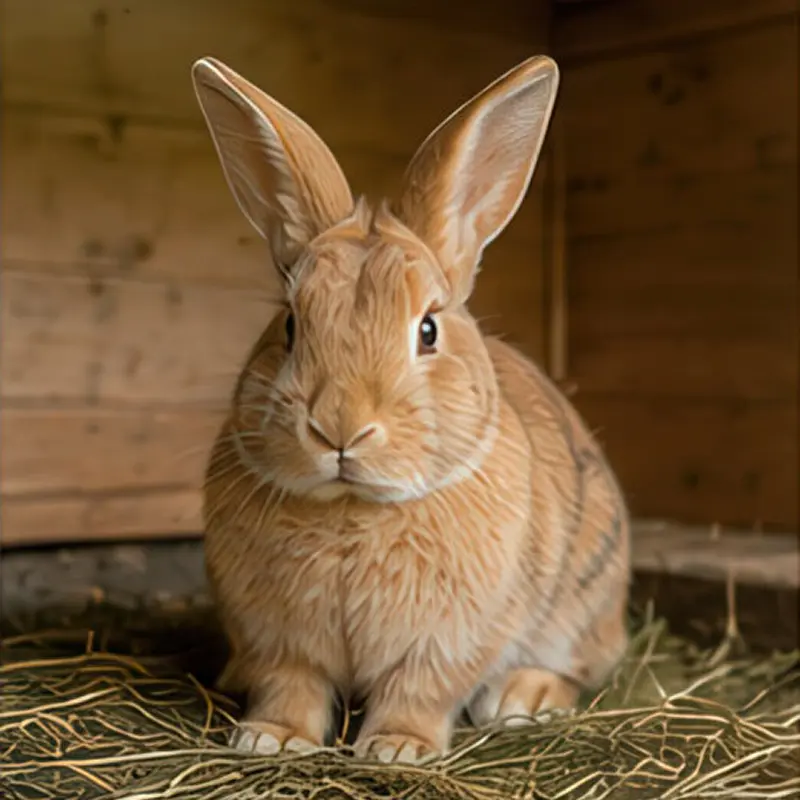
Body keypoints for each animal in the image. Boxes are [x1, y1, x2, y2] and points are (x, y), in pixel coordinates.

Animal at [192, 53, 630, 764]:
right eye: (289, 325)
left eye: (427, 330)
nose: (339, 429)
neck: (351, 510)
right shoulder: (278, 641)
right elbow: (291, 686)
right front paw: (270, 739)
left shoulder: (446, 643)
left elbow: (418, 691)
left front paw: (396, 749)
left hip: (582, 599)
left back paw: (523, 698)